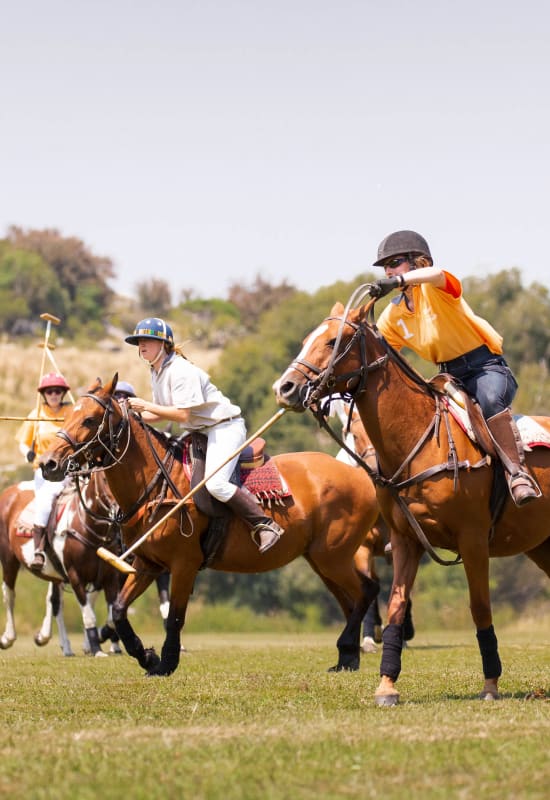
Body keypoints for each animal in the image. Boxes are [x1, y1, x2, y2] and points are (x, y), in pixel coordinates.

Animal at [0, 472, 123, 652]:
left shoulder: (110, 577)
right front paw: (96, 649)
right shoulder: (75, 576)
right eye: (106, 479)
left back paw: (62, 645)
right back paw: (8, 638)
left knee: (55, 602)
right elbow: (89, 615)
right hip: (9, 560)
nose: (120, 512)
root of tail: (9, 491)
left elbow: (112, 618)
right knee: (9, 594)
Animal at [40, 376, 384, 676]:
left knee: (367, 590)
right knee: (350, 599)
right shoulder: (147, 562)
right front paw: (146, 656)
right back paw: (347, 658)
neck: (156, 482)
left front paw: (165, 664)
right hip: (321, 559)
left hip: (334, 554)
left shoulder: (184, 563)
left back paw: (348, 649)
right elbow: (119, 610)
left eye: (89, 419)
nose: (48, 463)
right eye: (69, 415)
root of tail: (362, 475)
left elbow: (174, 617)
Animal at [276, 290, 550, 704]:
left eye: (333, 341)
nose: (286, 388)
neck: (419, 439)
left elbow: (479, 608)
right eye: (308, 338)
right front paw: (386, 685)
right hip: (540, 543)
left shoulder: (473, 539)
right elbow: (394, 605)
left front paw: (490, 684)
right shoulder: (405, 538)